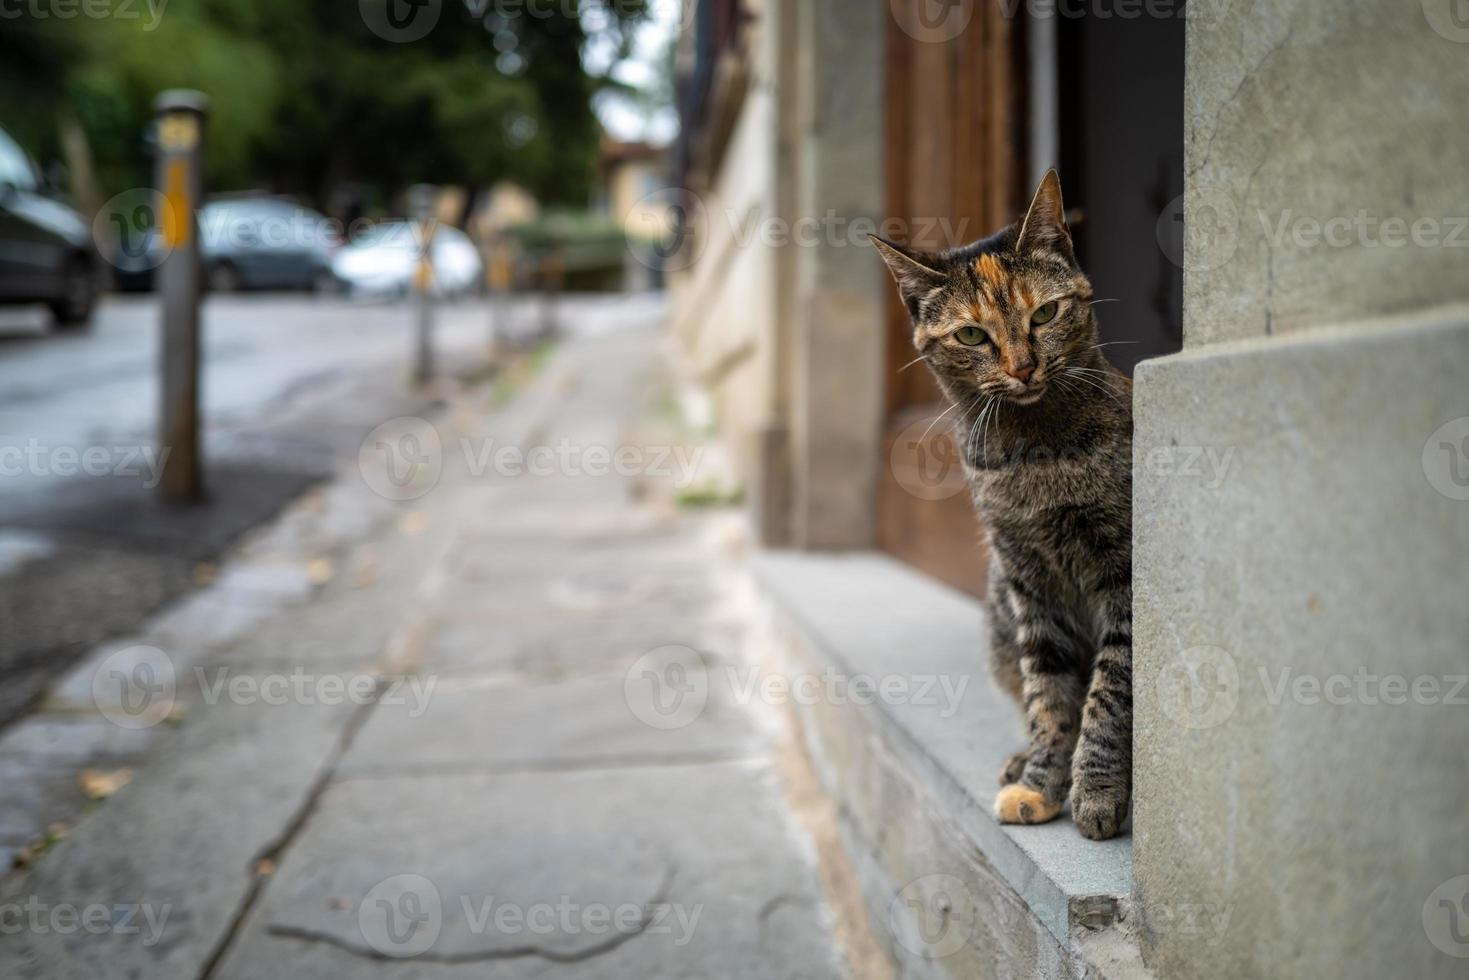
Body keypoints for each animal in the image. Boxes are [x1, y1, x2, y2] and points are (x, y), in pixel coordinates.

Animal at [869, 170, 1134, 846]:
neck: (1034, 457)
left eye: (1045, 313)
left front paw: (1095, 790)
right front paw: (1042, 782)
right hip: (997, 614)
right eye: (971, 334)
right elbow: (1049, 694)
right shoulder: (1026, 579)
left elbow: (1109, 690)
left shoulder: (1123, 574)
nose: (1023, 367)